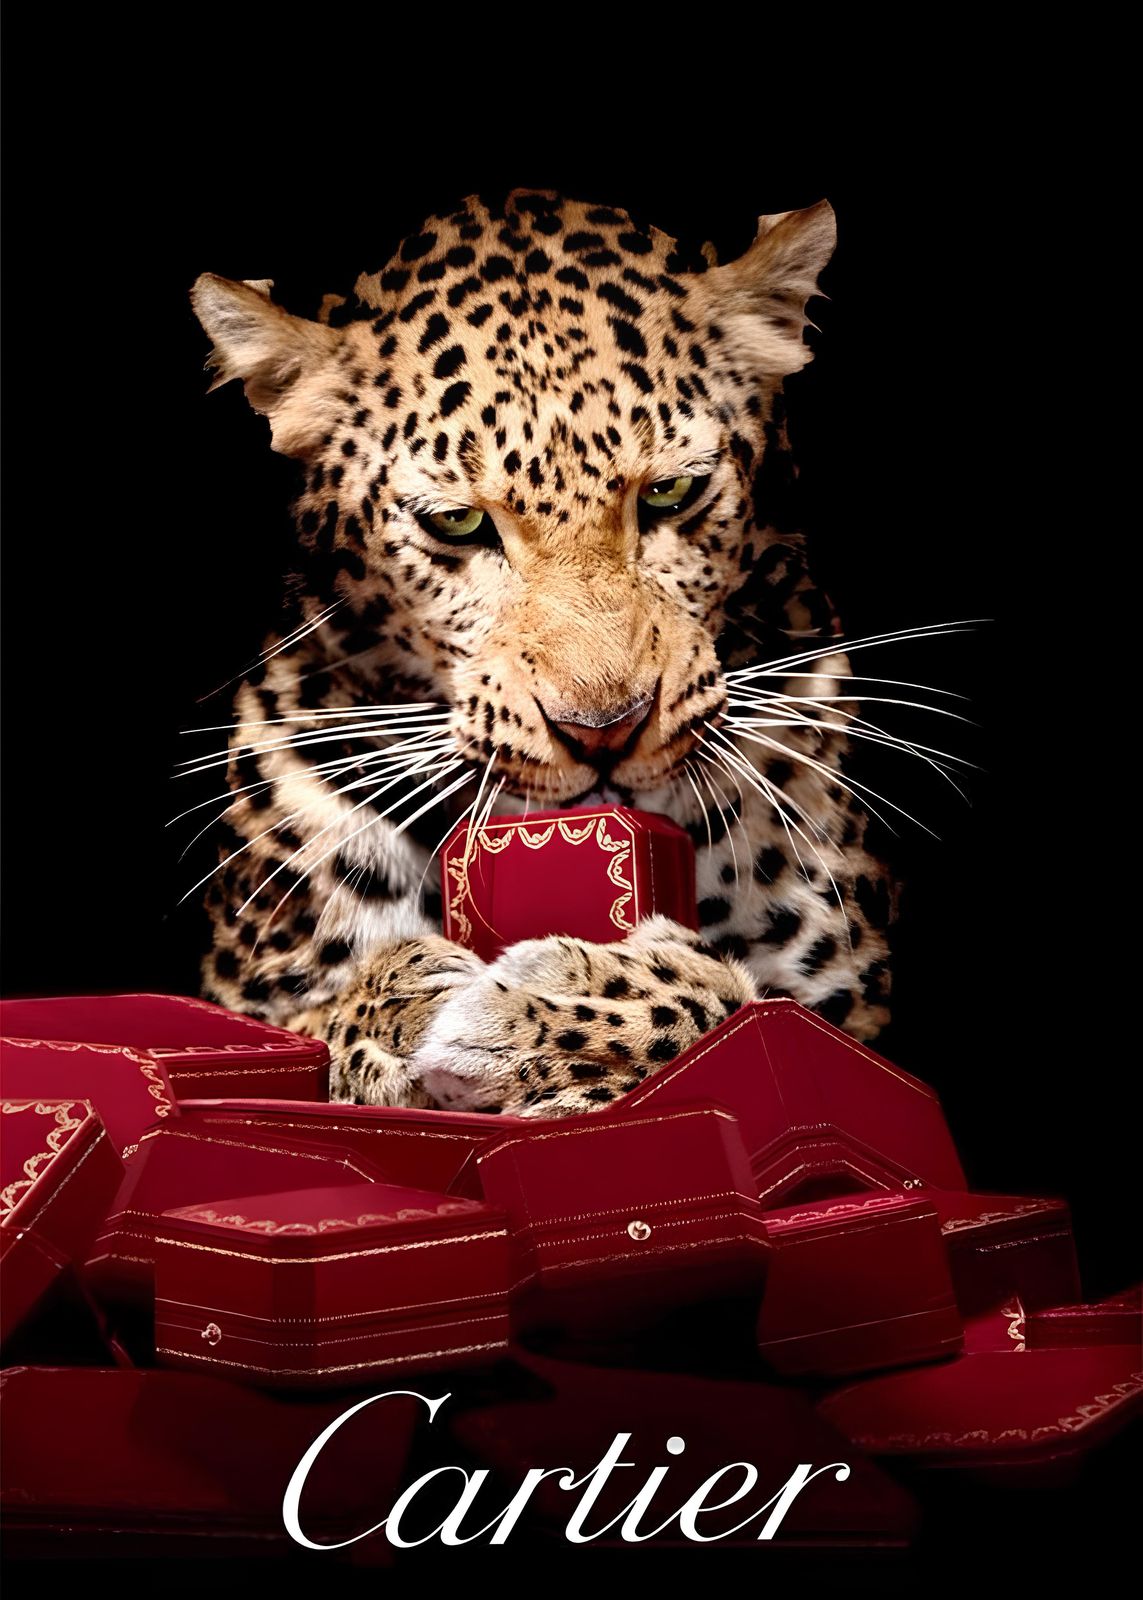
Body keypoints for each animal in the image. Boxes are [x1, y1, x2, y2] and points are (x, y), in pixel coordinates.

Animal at [187, 188, 896, 1117]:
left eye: (671, 492)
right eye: (456, 523)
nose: (604, 730)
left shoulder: (849, 1005)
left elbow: (765, 1029)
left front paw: (556, 1006)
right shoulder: (250, 995)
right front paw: (395, 1003)